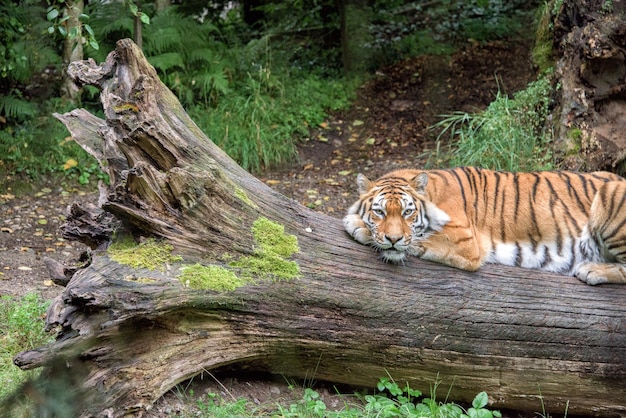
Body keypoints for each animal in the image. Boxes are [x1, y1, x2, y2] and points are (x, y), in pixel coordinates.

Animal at [344, 167, 624, 284]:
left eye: (407, 212)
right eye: (379, 212)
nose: (393, 239)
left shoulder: (466, 242)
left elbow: (418, 240)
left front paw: (355, 223)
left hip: (609, 195)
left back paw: (591, 270)